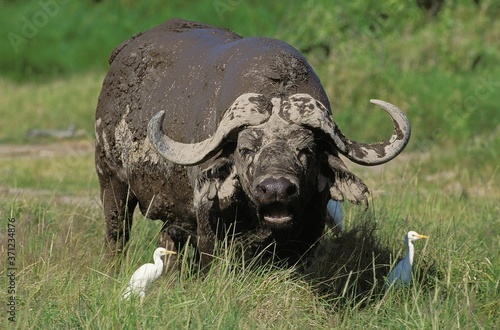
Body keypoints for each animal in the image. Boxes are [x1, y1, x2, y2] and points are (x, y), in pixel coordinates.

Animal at [94, 18, 410, 268]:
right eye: (246, 150)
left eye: (307, 150)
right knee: (116, 236)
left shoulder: (312, 226)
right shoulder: (208, 225)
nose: (276, 189)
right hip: (110, 180)